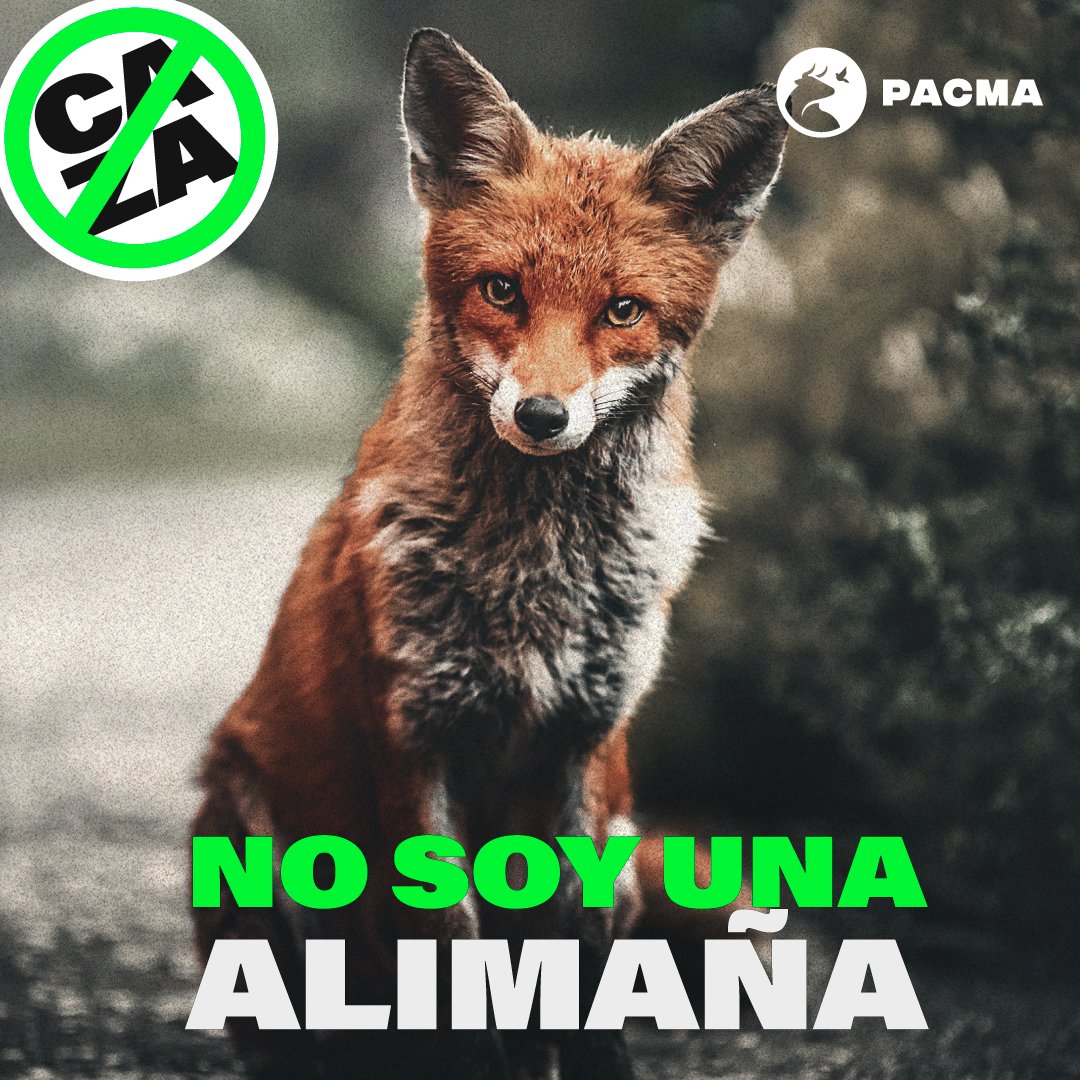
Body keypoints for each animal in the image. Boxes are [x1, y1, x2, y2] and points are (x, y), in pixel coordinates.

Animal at [192, 26, 786, 1080]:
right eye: (502, 289)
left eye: (623, 310)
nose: (542, 415)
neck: (535, 575)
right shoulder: (412, 735)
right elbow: (452, 950)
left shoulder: (586, 739)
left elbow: (577, 962)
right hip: (244, 830)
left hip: (623, 828)